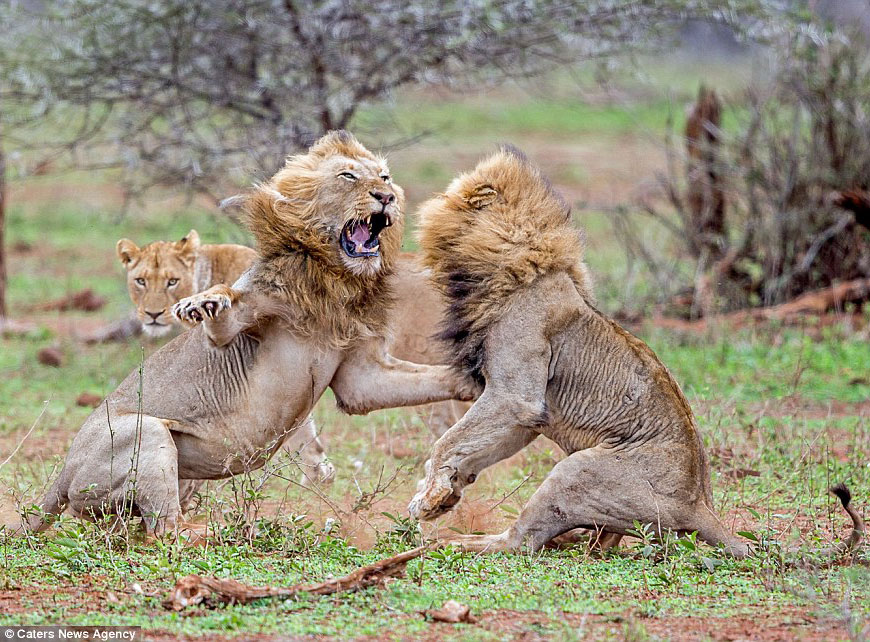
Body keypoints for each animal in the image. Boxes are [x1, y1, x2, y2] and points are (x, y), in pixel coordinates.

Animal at [27, 127, 474, 532]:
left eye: (384, 176)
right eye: (348, 176)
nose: (387, 197)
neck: (336, 280)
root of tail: (64, 472)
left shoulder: (360, 375)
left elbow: (427, 378)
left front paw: (473, 381)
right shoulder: (239, 324)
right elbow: (224, 307)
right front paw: (202, 303)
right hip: (146, 431)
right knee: (163, 532)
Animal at [410, 146, 864, 556]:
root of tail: (699, 506)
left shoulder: (515, 395)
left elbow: (448, 441)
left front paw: (427, 499)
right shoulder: (527, 416)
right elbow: (473, 447)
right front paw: (446, 495)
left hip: (575, 470)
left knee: (520, 543)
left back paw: (453, 543)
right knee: (600, 542)